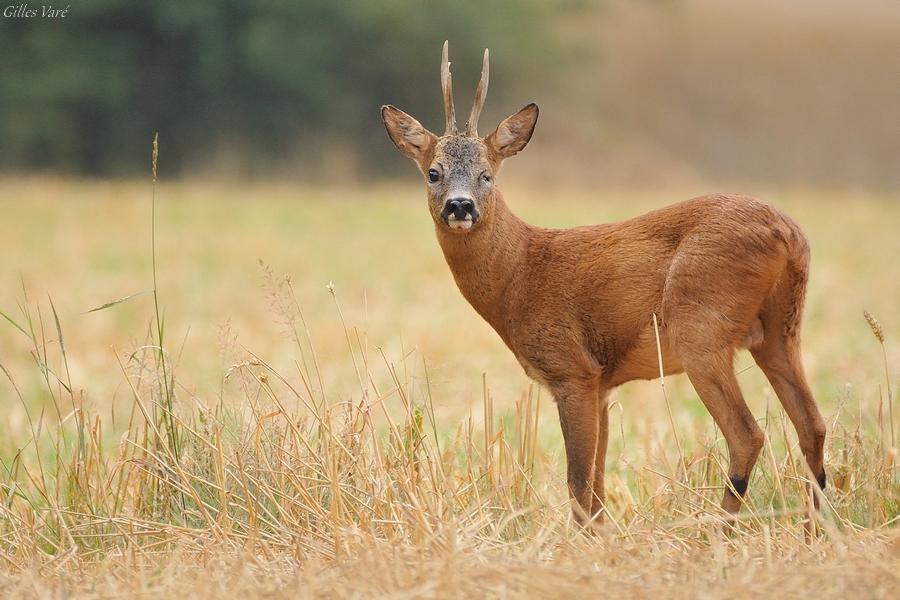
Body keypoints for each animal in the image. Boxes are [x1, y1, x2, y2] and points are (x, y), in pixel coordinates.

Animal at [378, 41, 824, 524]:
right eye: (433, 172)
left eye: (487, 174)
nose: (460, 206)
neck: (520, 274)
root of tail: (788, 233)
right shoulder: (603, 382)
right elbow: (597, 487)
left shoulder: (572, 369)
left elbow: (577, 484)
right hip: (781, 330)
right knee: (813, 424)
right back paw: (818, 525)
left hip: (701, 326)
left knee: (748, 434)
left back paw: (717, 528)